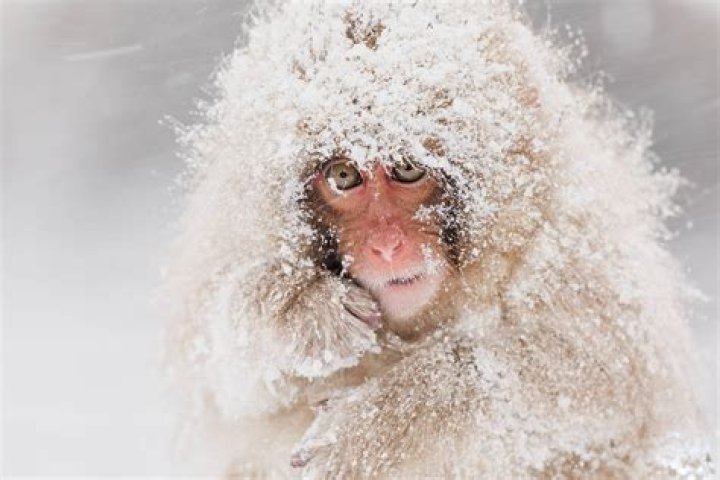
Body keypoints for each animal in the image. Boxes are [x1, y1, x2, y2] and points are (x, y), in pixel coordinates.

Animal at [164, 1, 714, 478]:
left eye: (408, 168)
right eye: (343, 176)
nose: (386, 246)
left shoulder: (575, 246)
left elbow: (603, 374)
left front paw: (379, 427)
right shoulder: (235, 237)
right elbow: (217, 382)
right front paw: (298, 308)